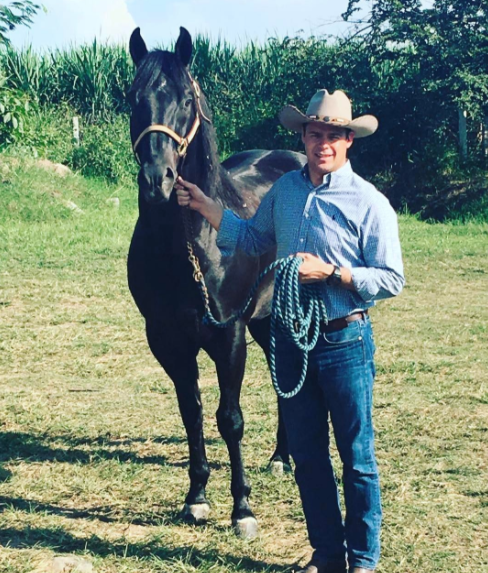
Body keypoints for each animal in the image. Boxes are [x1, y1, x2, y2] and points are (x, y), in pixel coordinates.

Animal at [127, 26, 306, 539]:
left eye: (187, 100)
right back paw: (281, 457)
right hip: (265, 321)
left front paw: (242, 508)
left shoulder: (229, 334)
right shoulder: (167, 339)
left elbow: (230, 419)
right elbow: (192, 412)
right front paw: (197, 497)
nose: (158, 179)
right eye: (132, 98)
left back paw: (284, 459)